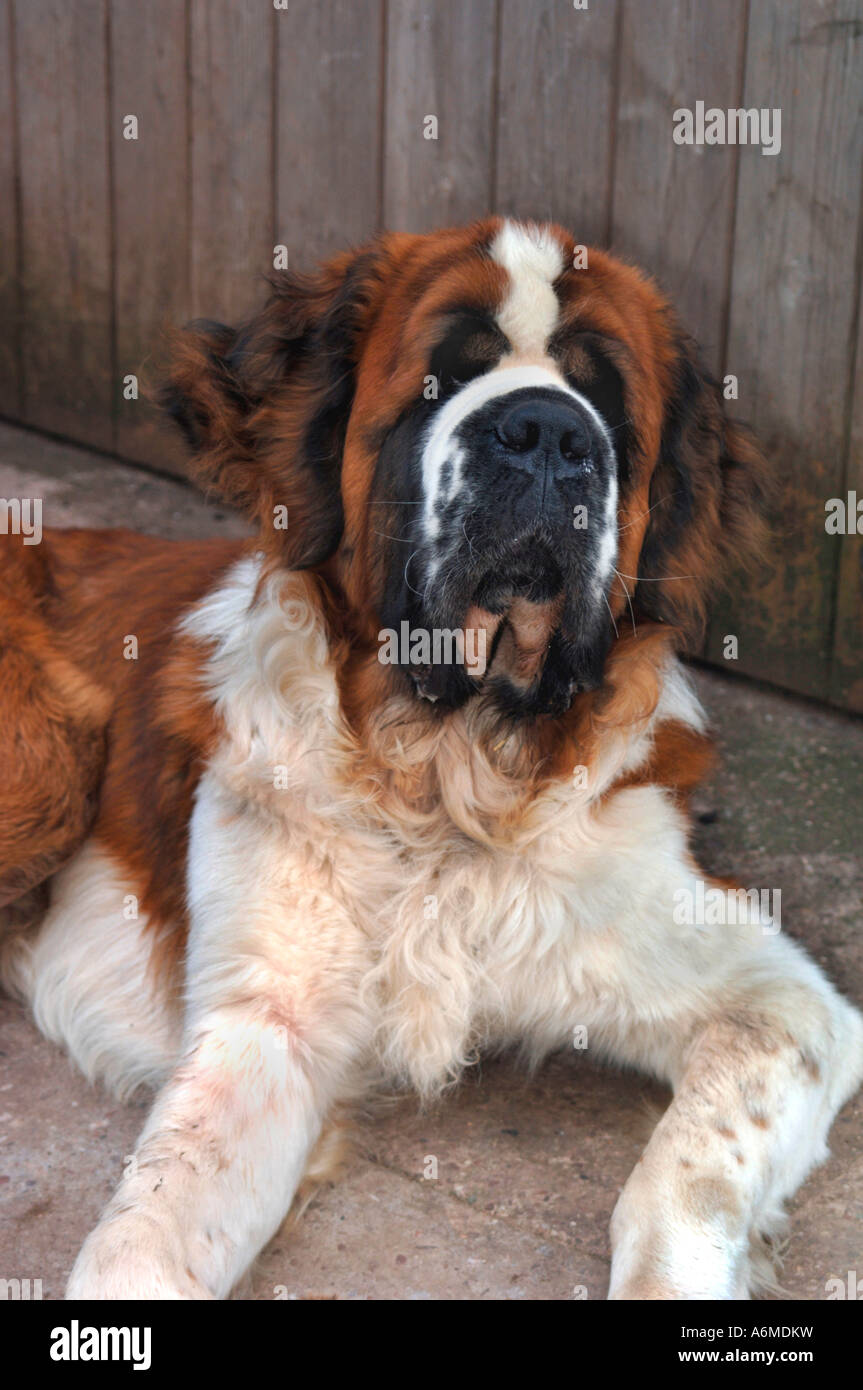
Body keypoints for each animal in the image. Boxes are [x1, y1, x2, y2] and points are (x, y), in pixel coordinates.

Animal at [1, 219, 861, 1301]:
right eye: (438, 380)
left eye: (608, 406)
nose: (550, 433)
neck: (447, 778)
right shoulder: (264, 1028)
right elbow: (142, 1240)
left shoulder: (780, 1003)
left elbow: (682, 1180)